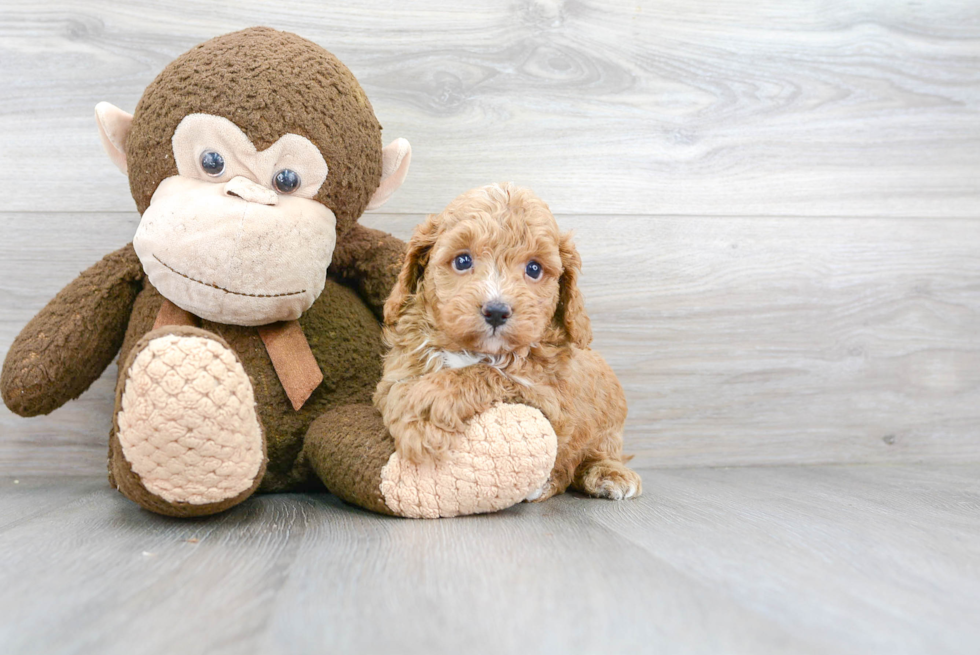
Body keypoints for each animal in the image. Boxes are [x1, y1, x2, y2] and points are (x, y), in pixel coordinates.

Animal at [372, 182, 640, 500]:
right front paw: (417, 417)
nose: (497, 311)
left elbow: (491, 373)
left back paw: (607, 474)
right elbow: (400, 390)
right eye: (462, 261)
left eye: (534, 269)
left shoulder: (551, 400)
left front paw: (427, 406)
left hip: (608, 430)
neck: (475, 350)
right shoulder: (398, 371)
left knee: (596, 456)